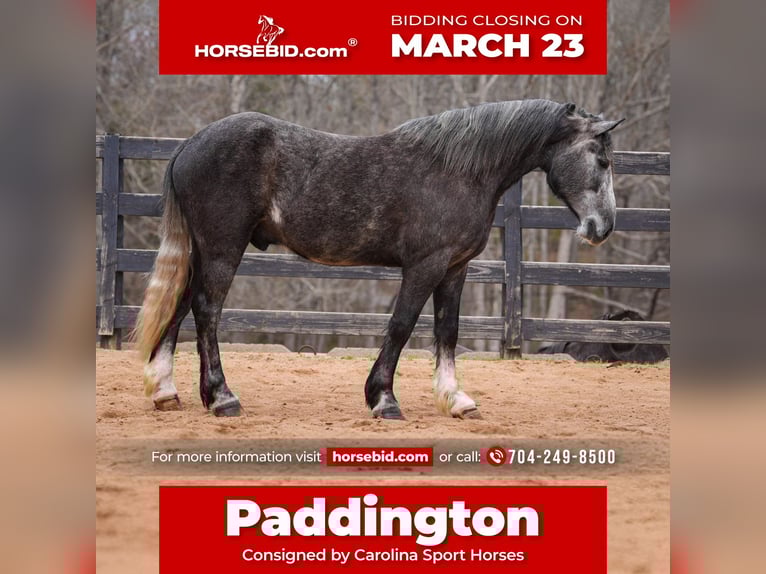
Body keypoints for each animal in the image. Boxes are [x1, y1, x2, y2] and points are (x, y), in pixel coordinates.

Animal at [135, 99, 624, 419]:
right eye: (600, 160)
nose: (602, 227)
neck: (459, 170)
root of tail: (190, 144)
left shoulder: (455, 268)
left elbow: (447, 331)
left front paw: (456, 399)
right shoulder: (425, 265)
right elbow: (402, 326)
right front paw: (384, 399)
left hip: (204, 250)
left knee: (182, 304)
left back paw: (165, 390)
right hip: (223, 248)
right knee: (207, 310)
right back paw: (222, 398)